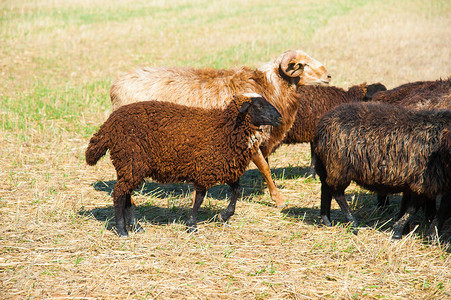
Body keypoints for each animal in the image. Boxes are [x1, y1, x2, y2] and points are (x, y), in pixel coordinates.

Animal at [85, 94, 282, 237]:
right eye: (259, 106)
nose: (280, 118)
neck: (225, 129)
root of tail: (108, 125)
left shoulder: (223, 167)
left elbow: (236, 190)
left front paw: (225, 215)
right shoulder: (204, 169)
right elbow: (199, 199)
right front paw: (192, 225)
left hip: (128, 166)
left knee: (125, 194)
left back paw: (136, 226)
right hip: (131, 161)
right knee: (119, 193)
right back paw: (122, 230)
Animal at [107, 49, 330, 209]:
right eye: (303, 65)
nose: (328, 76)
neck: (269, 87)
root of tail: (115, 87)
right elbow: (265, 168)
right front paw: (279, 200)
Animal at [314, 101, 451, 239]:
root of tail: (321, 126)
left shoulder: (414, 182)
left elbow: (408, 207)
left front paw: (404, 230)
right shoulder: (424, 182)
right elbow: (413, 209)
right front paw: (399, 232)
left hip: (325, 165)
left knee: (325, 188)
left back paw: (327, 220)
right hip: (339, 167)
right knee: (337, 192)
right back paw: (353, 224)